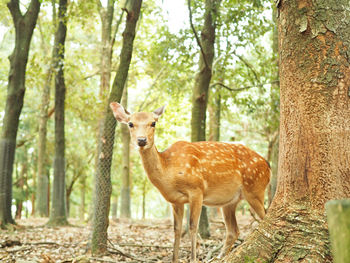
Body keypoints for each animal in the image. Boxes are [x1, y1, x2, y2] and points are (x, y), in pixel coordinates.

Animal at [109, 102, 270, 262]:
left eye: (153, 123)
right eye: (130, 123)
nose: (141, 140)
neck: (169, 172)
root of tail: (268, 165)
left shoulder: (197, 190)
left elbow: (193, 226)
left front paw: (193, 258)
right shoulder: (175, 200)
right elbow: (177, 229)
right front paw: (175, 259)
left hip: (255, 188)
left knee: (264, 218)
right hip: (230, 201)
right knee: (233, 230)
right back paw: (219, 257)